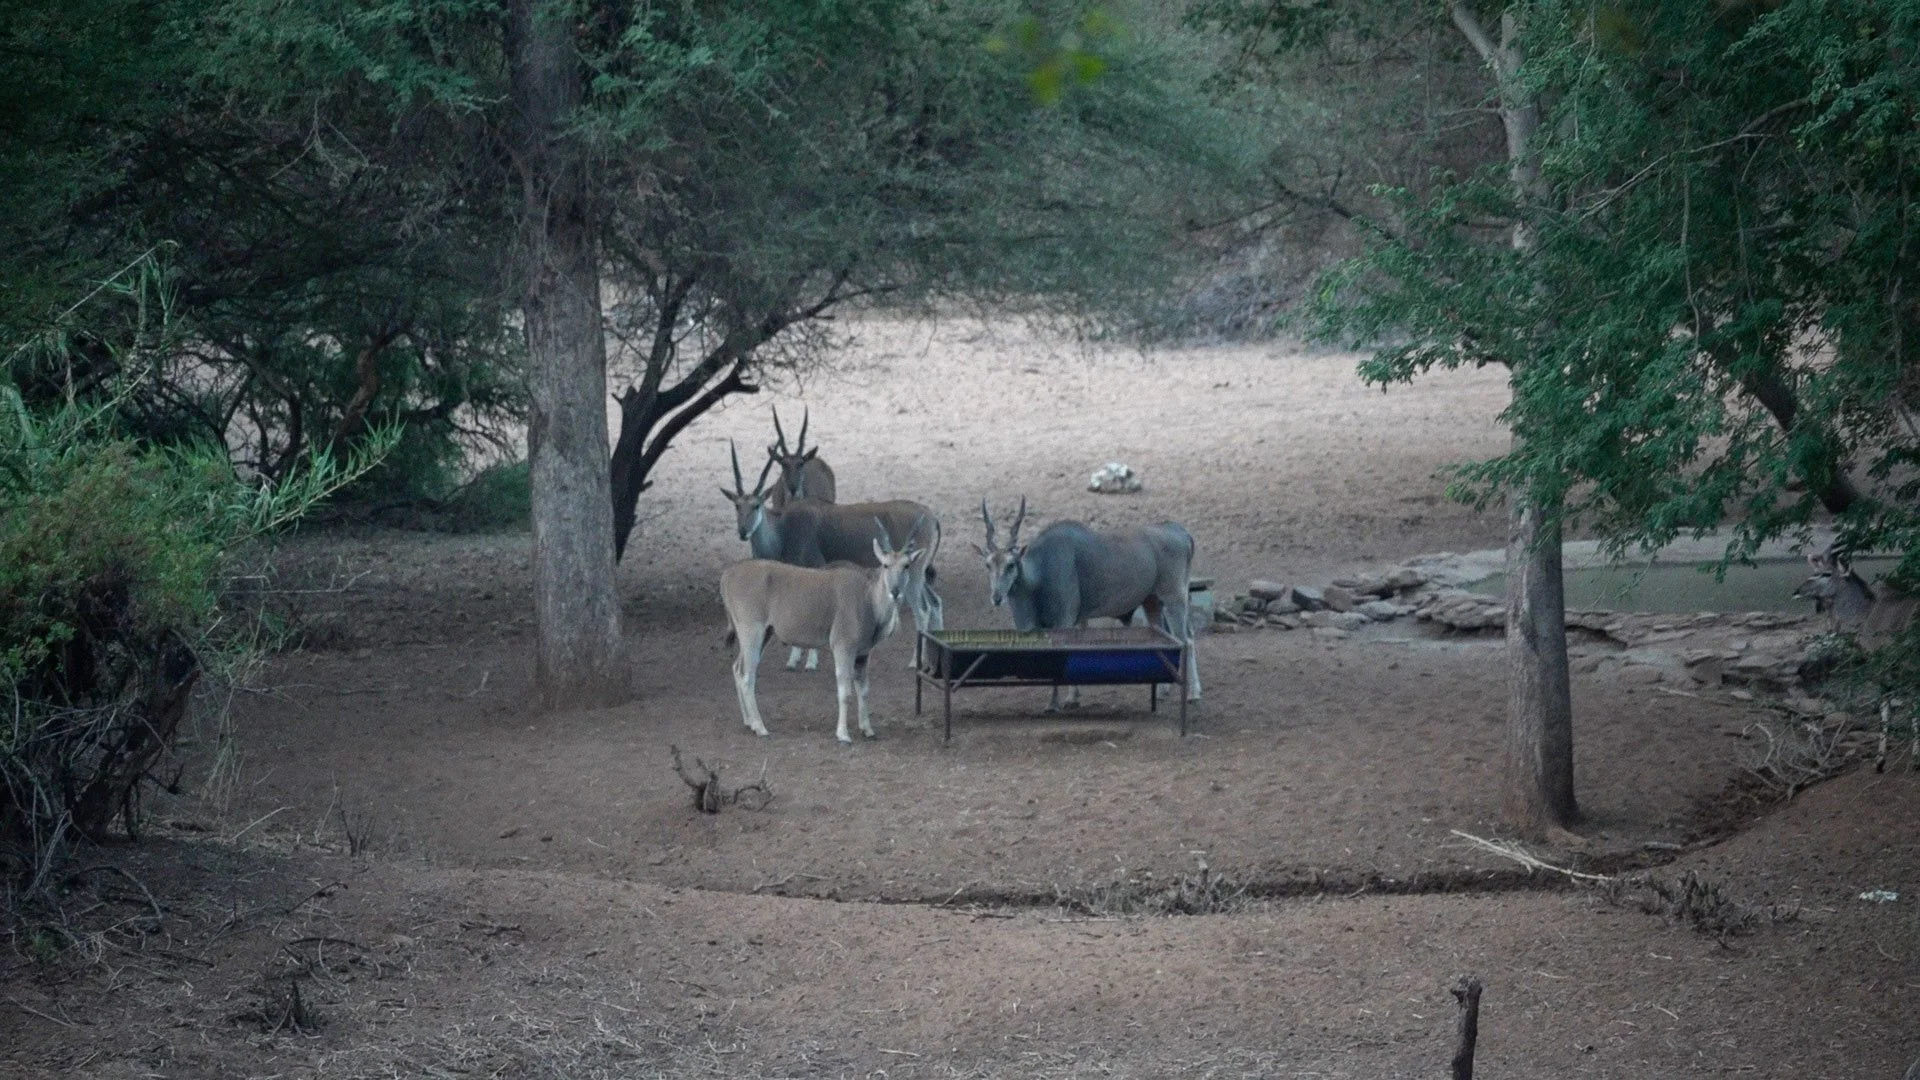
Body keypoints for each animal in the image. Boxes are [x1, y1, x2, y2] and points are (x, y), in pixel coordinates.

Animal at [721, 525, 922, 743]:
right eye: (885, 565)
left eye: (907, 566)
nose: (895, 591)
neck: (867, 597)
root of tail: (728, 574)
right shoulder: (843, 648)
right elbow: (845, 692)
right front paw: (843, 734)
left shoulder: (863, 654)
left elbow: (864, 690)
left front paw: (867, 729)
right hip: (752, 632)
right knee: (747, 676)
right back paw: (760, 727)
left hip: (764, 633)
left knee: (737, 668)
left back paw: (748, 722)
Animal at [722, 442, 943, 666]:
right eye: (737, 505)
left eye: (756, 505)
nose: (743, 532)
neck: (784, 529)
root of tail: (931, 516)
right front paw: (794, 660)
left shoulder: (816, 570)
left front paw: (810, 662)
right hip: (914, 576)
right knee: (935, 603)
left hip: (912, 576)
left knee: (923, 610)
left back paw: (915, 661)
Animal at [975, 497, 1202, 710]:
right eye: (987, 565)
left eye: (1011, 565)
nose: (996, 597)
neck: (1040, 571)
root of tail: (1179, 530)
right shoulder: (1077, 620)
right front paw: (1072, 698)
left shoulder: (1064, 621)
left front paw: (1054, 704)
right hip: (1152, 601)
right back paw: (1162, 691)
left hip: (1174, 597)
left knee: (1186, 640)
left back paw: (1193, 694)